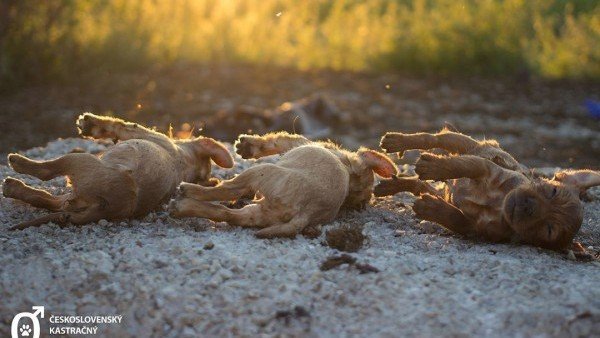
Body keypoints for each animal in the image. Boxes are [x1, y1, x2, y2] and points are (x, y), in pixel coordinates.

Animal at [2, 113, 234, 230]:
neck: (185, 163)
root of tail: (105, 204)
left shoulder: (136, 132)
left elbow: (120, 125)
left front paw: (91, 123)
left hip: (80, 161)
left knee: (46, 172)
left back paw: (17, 164)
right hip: (70, 199)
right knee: (46, 199)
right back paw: (13, 187)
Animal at [168, 131, 398, 239]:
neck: (350, 171)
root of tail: (304, 213)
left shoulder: (298, 142)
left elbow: (276, 141)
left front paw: (248, 146)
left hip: (260, 173)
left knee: (224, 190)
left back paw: (187, 192)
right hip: (258, 214)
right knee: (226, 213)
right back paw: (183, 207)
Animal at [378, 128, 596, 250]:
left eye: (549, 230)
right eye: (552, 191)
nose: (528, 207)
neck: (500, 204)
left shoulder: (477, 229)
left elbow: (455, 218)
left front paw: (430, 208)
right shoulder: (486, 167)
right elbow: (460, 166)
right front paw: (435, 167)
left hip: (441, 188)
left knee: (420, 185)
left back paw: (392, 185)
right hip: (464, 143)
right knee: (434, 138)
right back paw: (398, 141)